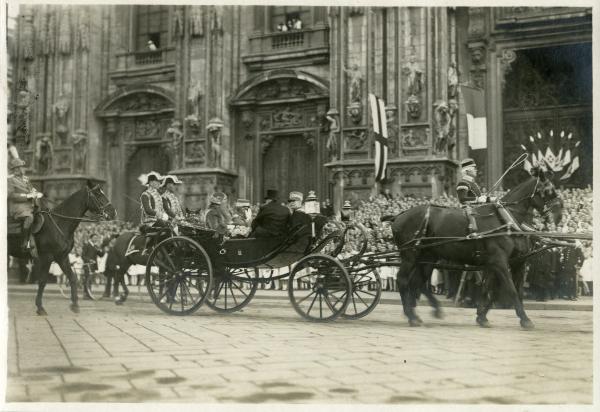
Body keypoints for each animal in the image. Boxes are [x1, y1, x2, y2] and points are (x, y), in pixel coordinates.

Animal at [7, 181, 117, 316]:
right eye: (98, 194)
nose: (113, 212)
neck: (60, 222)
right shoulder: (47, 257)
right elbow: (42, 281)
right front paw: (40, 307)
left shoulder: (62, 257)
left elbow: (72, 278)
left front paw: (75, 305)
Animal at [390, 169, 564, 330]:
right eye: (549, 190)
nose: (559, 216)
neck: (506, 220)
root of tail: (398, 216)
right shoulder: (500, 261)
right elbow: (510, 289)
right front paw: (525, 319)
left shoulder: (512, 262)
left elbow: (494, 289)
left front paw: (482, 316)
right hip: (410, 255)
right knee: (403, 280)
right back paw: (411, 316)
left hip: (427, 257)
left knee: (416, 282)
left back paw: (425, 312)